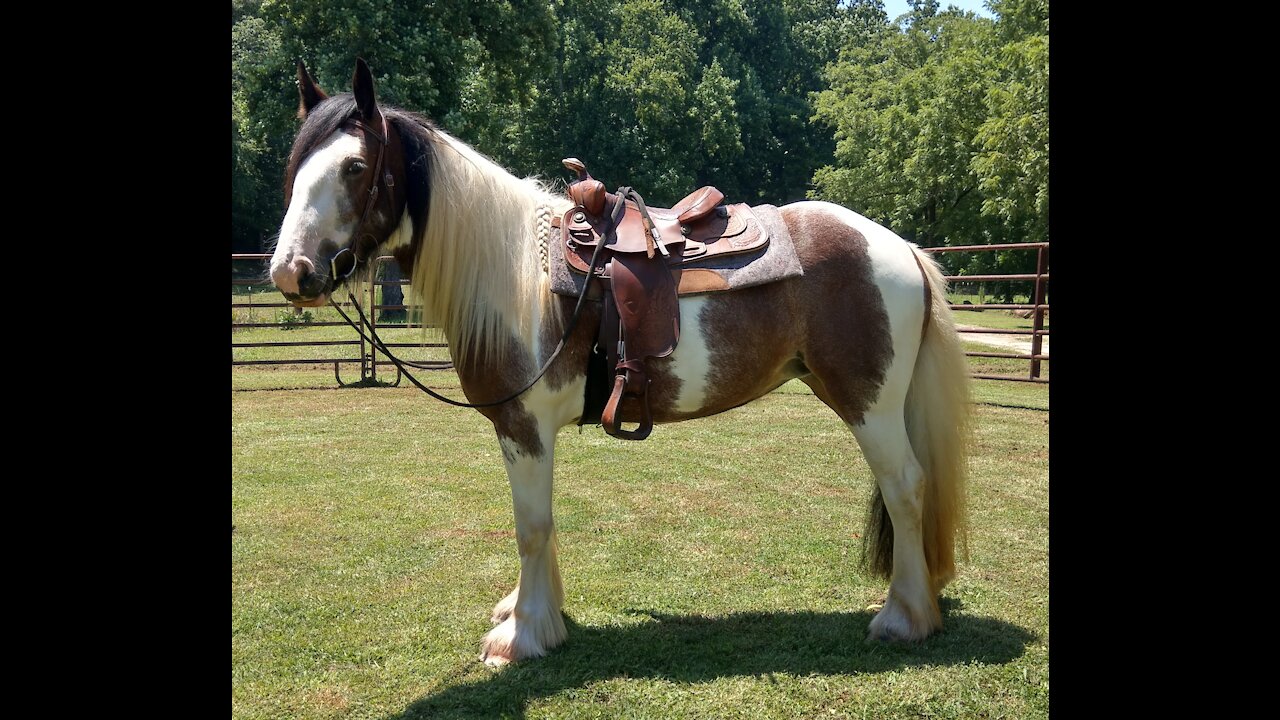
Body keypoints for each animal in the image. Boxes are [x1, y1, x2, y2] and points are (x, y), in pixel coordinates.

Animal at [267, 58, 967, 666]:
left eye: (355, 166)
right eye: (296, 167)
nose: (290, 272)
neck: (515, 271)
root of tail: (899, 246)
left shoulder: (523, 427)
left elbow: (531, 525)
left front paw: (522, 637)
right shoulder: (529, 431)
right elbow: (543, 524)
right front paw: (538, 612)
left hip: (870, 404)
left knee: (906, 487)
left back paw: (904, 617)